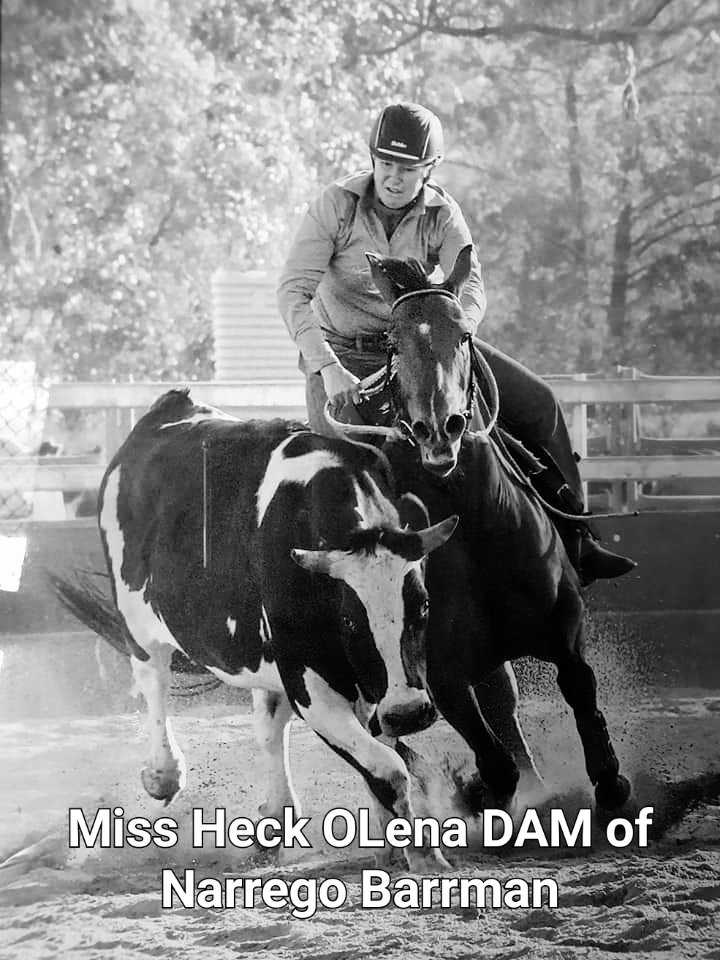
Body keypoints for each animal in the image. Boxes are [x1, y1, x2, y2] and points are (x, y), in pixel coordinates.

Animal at [69, 389, 457, 871]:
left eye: (422, 605)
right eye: (350, 620)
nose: (409, 713)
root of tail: (170, 407)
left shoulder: (370, 684)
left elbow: (376, 758)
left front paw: (390, 840)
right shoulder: (310, 686)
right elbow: (388, 768)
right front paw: (425, 855)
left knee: (269, 729)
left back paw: (274, 818)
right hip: (138, 623)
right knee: (154, 682)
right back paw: (164, 774)